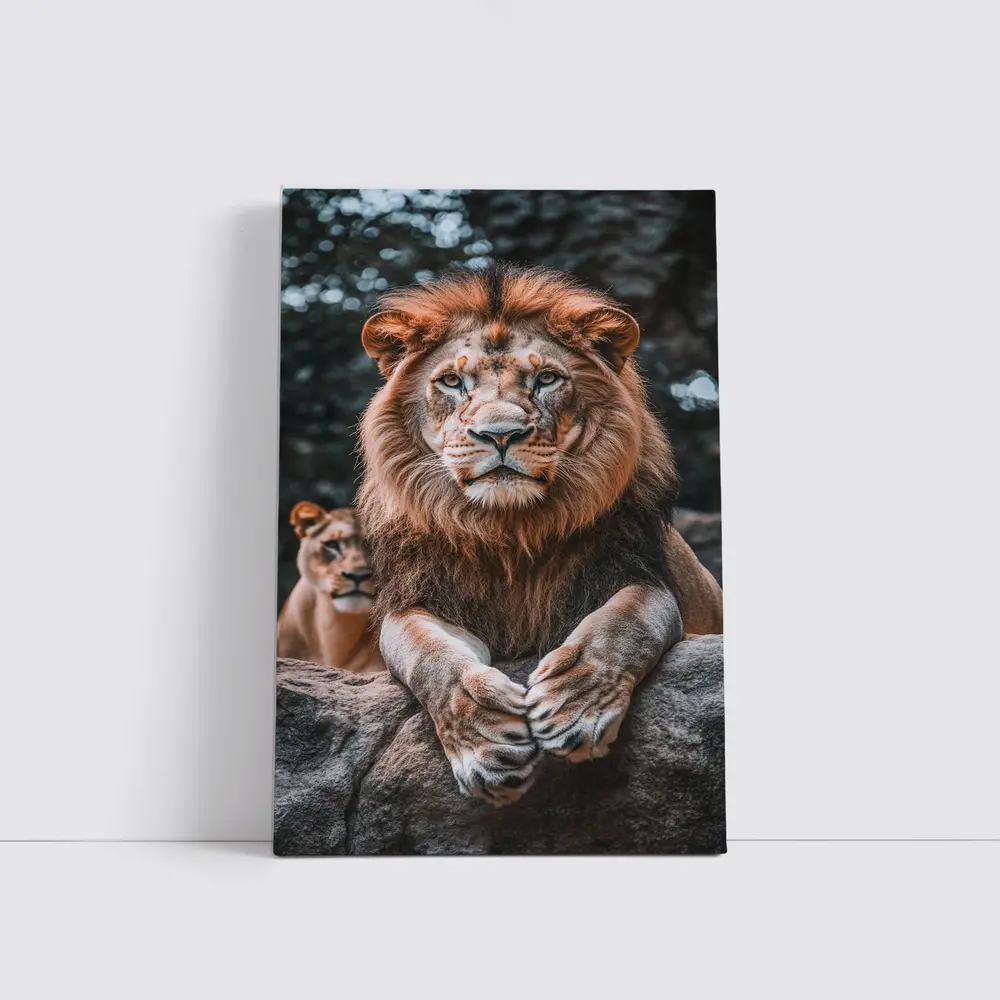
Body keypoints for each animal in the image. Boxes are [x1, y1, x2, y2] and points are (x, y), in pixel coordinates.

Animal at [356, 263, 723, 805]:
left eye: (546, 378)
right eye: (452, 382)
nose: (500, 434)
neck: (512, 530)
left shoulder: (639, 575)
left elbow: (620, 626)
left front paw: (574, 707)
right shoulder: (416, 600)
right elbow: (429, 657)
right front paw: (486, 741)